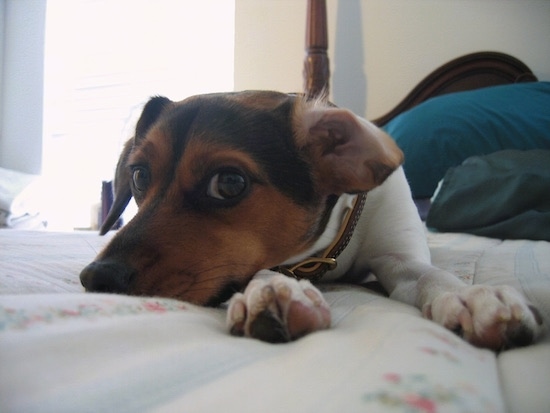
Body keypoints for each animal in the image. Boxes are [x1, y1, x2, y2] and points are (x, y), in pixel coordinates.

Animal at [80, 90, 544, 348]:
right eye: (139, 175)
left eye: (228, 183)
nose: (96, 278)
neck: (329, 249)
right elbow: (265, 271)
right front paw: (277, 293)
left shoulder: (400, 256)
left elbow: (428, 274)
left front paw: (472, 298)